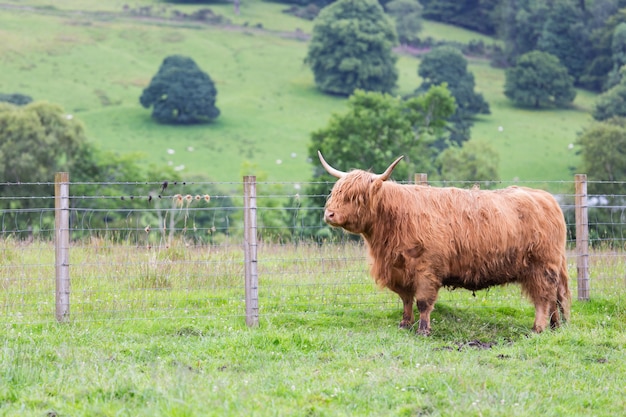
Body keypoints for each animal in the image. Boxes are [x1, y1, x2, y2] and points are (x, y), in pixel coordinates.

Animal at [320, 151, 568, 334]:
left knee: (543, 298)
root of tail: (546, 198)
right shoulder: (399, 270)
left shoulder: (427, 269)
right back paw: (554, 326)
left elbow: (423, 302)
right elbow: (406, 299)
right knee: (554, 298)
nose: (329, 214)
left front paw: (423, 330)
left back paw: (538, 328)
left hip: (541, 267)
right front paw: (404, 324)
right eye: (335, 192)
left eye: (355, 197)